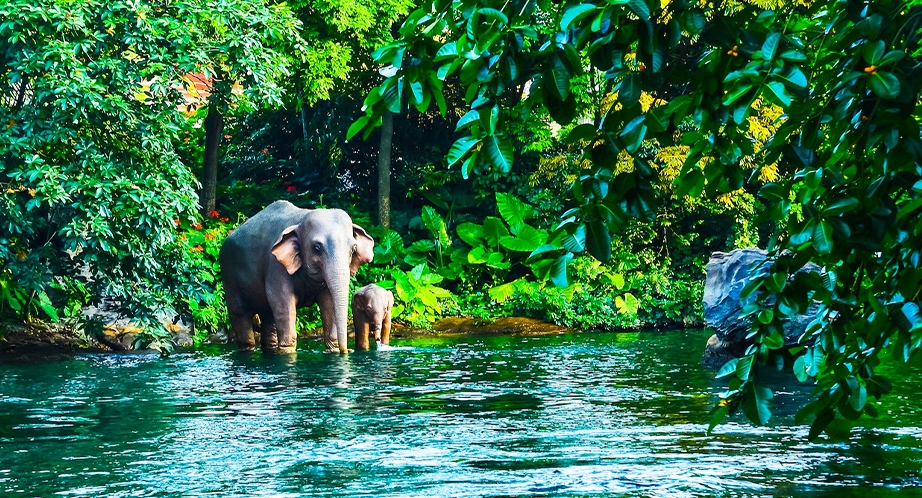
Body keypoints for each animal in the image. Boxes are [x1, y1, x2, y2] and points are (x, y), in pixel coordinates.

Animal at [217, 200, 372, 352]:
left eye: (353, 249)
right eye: (317, 248)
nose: (348, 350)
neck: (301, 218)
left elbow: (329, 302)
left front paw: (333, 349)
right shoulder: (276, 266)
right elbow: (281, 302)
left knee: (268, 317)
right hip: (229, 277)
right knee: (240, 316)